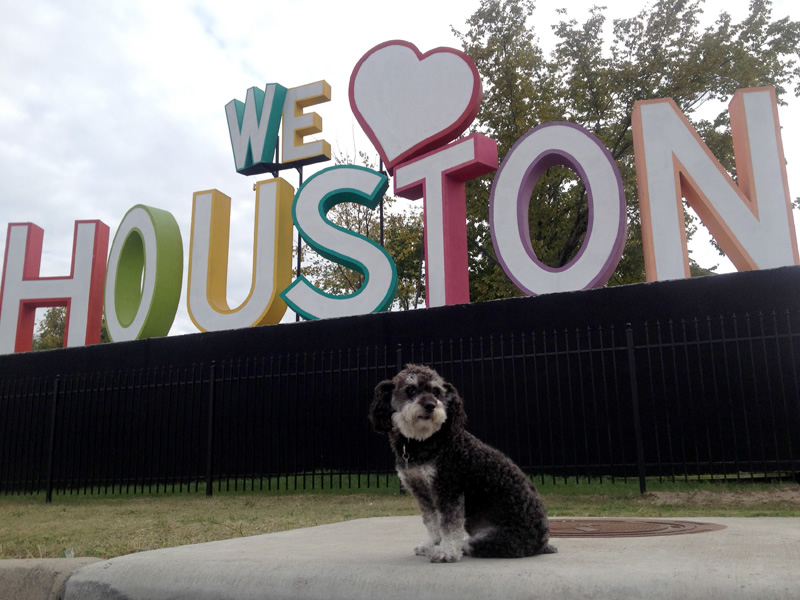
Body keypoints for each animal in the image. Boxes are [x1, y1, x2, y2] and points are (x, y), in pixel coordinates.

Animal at [369, 364, 556, 563]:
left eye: (436, 392)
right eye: (411, 390)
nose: (430, 405)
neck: (426, 441)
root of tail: (542, 543)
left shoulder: (448, 488)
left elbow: (449, 524)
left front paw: (447, 551)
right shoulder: (422, 492)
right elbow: (431, 522)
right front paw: (432, 544)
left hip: (489, 540)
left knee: (469, 543)